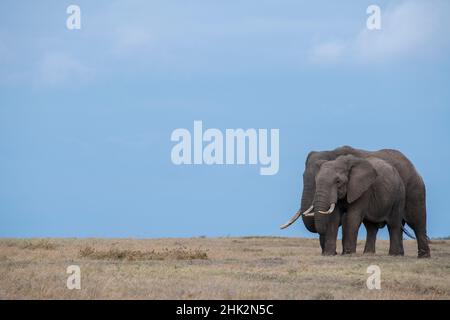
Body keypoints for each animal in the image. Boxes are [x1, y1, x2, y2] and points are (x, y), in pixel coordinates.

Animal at [282, 146, 432, 258]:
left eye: (338, 182)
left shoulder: (361, 189)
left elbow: (350, 218)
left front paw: (346, 253)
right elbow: (334, 218)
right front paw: (330, 254)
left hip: (412, 190)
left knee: (415, 222)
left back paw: (421, 256)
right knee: (373, 226)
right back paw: (375, 254)